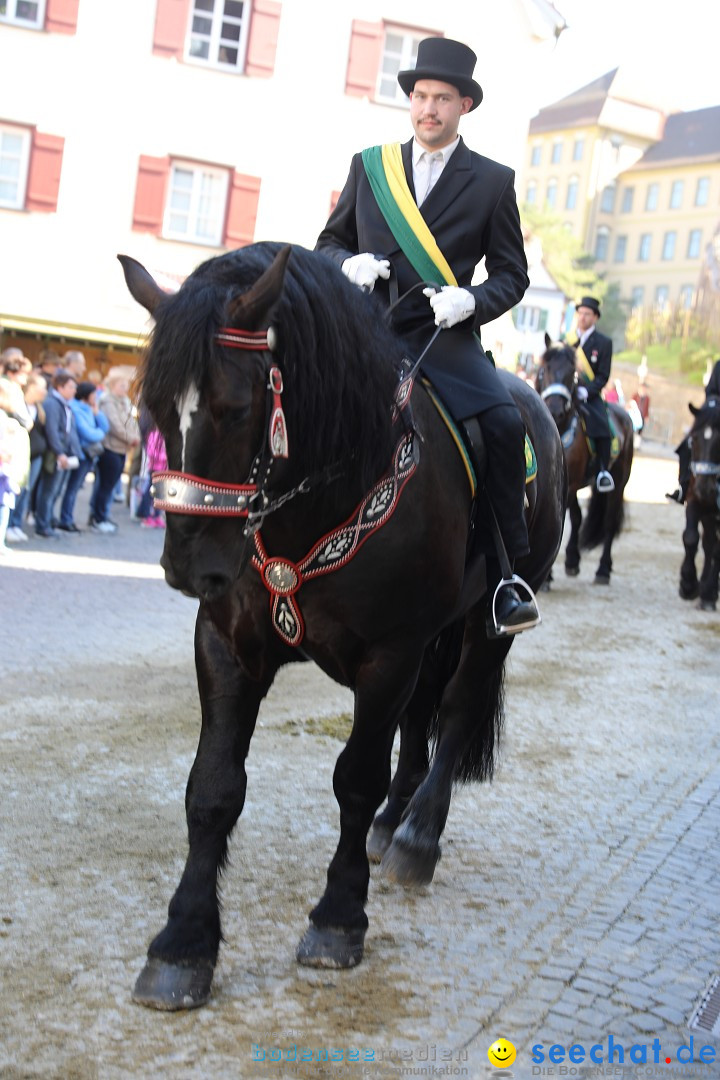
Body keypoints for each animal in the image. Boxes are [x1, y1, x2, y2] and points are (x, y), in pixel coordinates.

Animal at [119, 245, 569, 1010]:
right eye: (153, 408)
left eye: (235, 408)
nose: (188, 566)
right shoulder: (228, 646)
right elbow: (213, 788)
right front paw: (183, 943)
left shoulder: (388, 657)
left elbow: (356, 778)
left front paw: (338, 920)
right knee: (421, 720)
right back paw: (394, 826)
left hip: (488, 623)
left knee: (455, 711)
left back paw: (418, 837)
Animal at [535, 336, 630, 591]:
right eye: (544, 368)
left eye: (572, 373)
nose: (555, 409)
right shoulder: (565, 486)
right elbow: (572, 519)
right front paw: (567, 563)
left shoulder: (567, 487)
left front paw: (548, 576)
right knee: (579, 518)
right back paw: (573, 560)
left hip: (619, 481)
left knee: (609, 523)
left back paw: (603, 570)